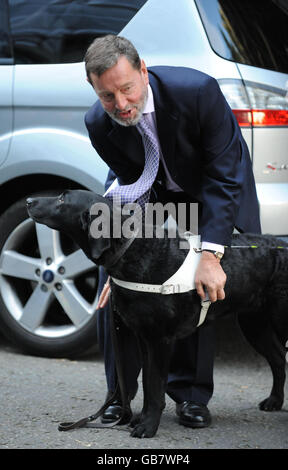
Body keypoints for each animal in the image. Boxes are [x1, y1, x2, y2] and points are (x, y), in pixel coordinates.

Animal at [25, 189, 286, 438]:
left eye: (62, 199)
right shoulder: (143, 338)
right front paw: (140, 419)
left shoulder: (160, 340)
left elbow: (156, 386)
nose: (28, 200)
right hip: (254, 324)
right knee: (278, 359)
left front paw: (148, 427)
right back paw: (274, 401)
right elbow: (148, 385)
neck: (132, 251)